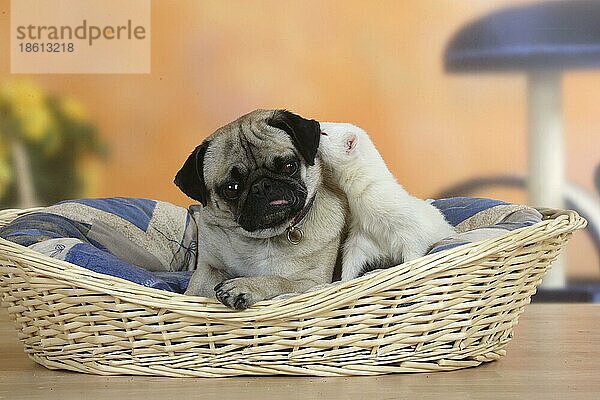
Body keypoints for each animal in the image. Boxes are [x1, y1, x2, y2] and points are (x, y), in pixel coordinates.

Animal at [173, 109, 344, 310]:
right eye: (232, 188)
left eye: (289, 166)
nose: (262, 185)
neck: (266, 237)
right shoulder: (208, 269)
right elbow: (192, 293)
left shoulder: (314, 283)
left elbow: (280, 280)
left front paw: (245, 286)